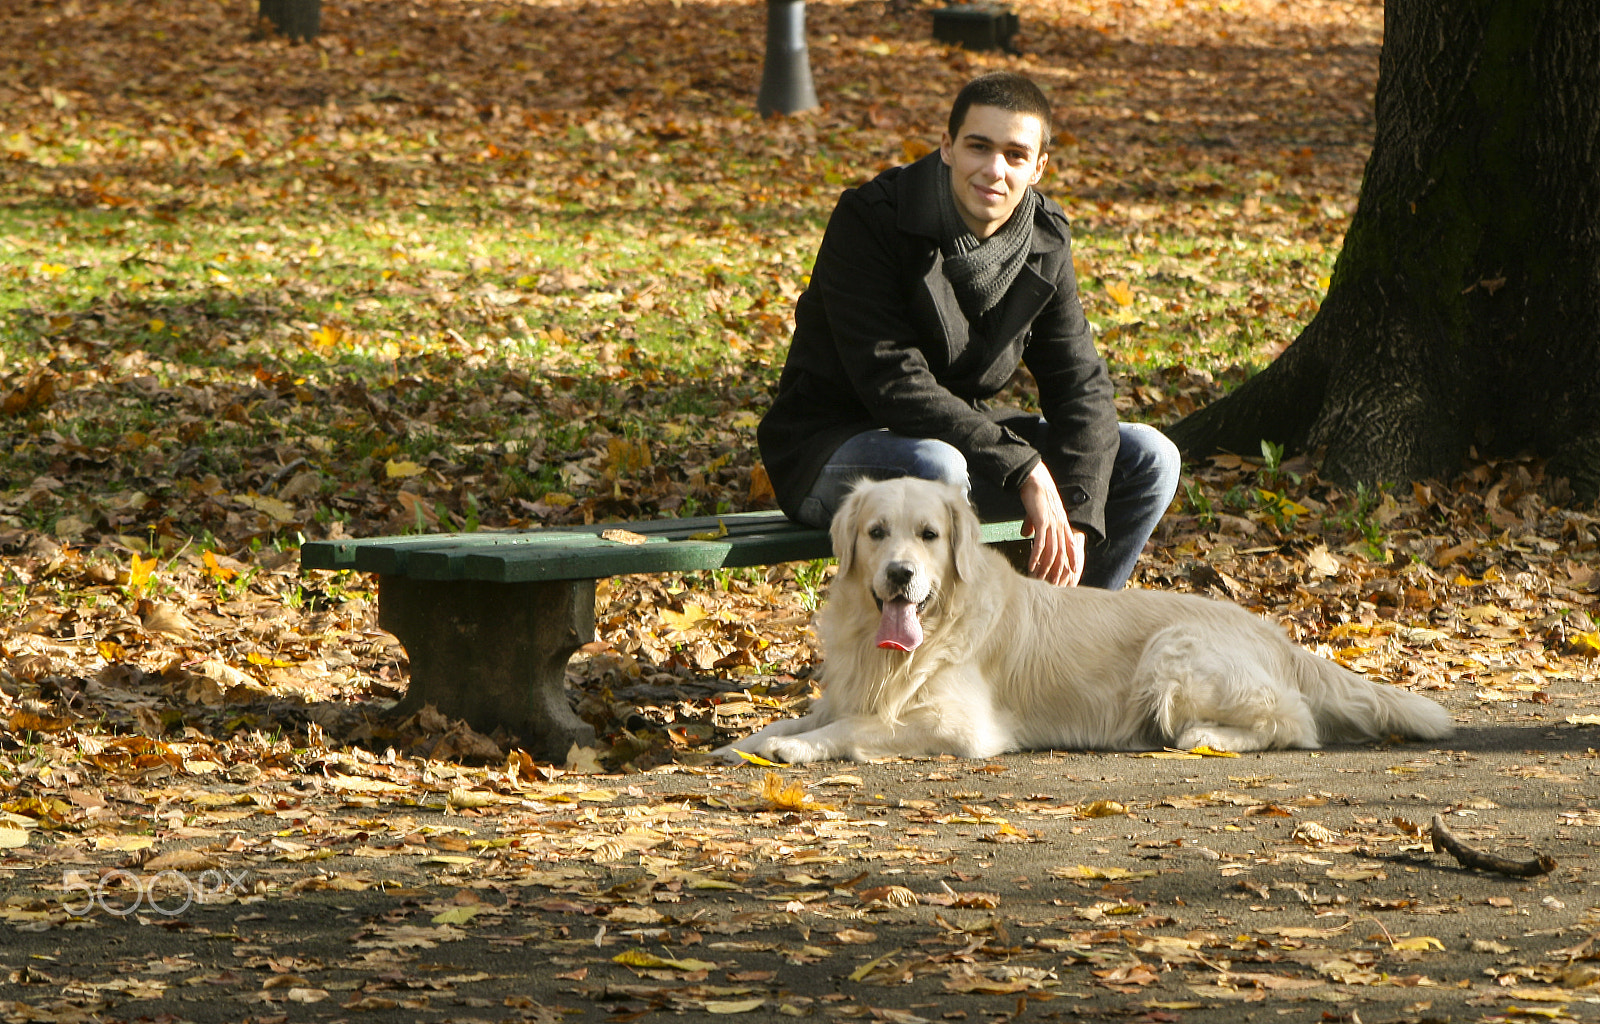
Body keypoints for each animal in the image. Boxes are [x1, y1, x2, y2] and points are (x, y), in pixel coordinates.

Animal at [720, 476, 1459, 761]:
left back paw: (1205, 737)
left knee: (1295, 721)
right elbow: (801, 715)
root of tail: (1275, 633)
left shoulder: (959, 726)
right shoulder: (849, 689)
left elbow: (854, 727)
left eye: (929, 535)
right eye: (876, 533)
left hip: (1173, 652)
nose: (901, 575)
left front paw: (793, 750)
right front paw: (746, 742)